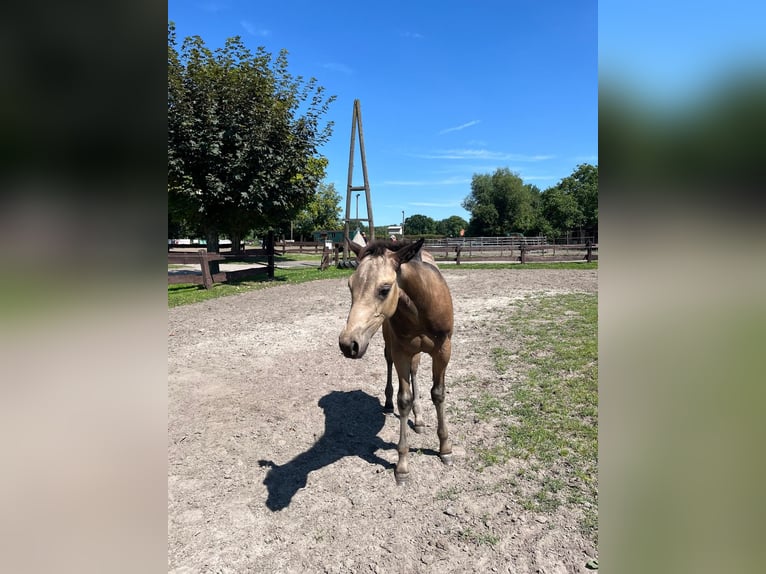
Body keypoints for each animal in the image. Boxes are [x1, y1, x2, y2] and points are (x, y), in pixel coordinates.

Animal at [338, 238, 456, 486]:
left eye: (384, 289)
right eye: (350, 286)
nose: (348, 344)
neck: (420, 308)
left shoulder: (443, 350)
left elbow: (438, 393)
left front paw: (445, 448)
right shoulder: (401, 350)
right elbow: (404, 400)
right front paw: (402, 466)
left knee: (415, 371)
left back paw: (419, 419)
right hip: (390, 341)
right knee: (389, 362)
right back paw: (388, 402)